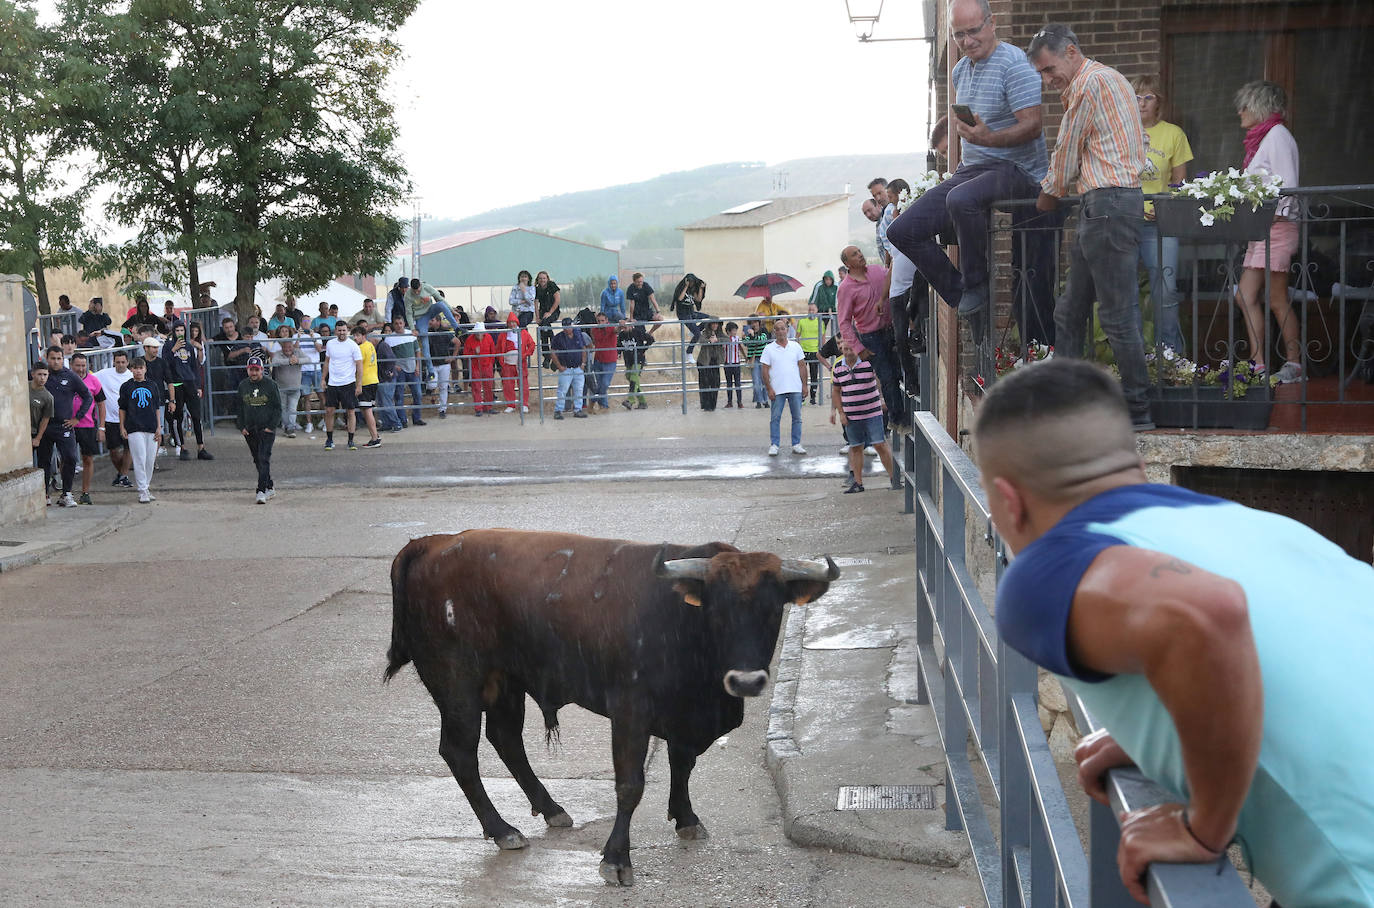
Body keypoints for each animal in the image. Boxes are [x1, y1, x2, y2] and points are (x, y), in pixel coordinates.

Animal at [381, 527, 840, 879]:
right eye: (717, 610)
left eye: (773, 610)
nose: (746, 680)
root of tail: (435, 542)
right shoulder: (630, 712)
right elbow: (630, 784)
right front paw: (617, 858)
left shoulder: (684, 719)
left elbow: (683, 765)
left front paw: (687, 818)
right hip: (458, 682)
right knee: (460, 752)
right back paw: (501, 829)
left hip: (505, 682)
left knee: (506, 739)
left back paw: (550, 808)